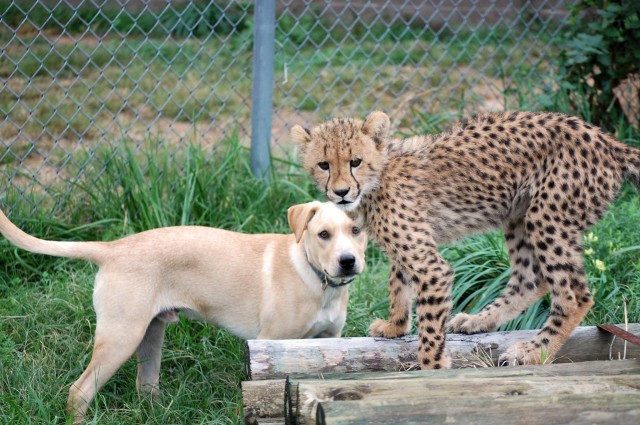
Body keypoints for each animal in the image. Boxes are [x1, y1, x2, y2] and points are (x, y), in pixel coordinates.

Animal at [0, 202, 364, 420]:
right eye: (323, 234)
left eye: (357, 231)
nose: (348, 261)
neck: (318, 279)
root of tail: (113, 248)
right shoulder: (270, 344)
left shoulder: (331, 342)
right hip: (121, 338)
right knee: (79, 391)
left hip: (149, 337)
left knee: (145, 387)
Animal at [292, 110, 640, 368]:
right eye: (324, 165)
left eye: (355, 161)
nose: (340, 192)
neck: (377, 179)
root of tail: (609, 142)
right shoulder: (408, 248)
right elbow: (398, 281)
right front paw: (395, 326)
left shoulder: (430, 265)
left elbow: (430, 325)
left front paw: (432, 366)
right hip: (518, 215)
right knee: (531, 279)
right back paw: (478, 320)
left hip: (547, 217)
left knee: (574, 294)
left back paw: (535, 351)